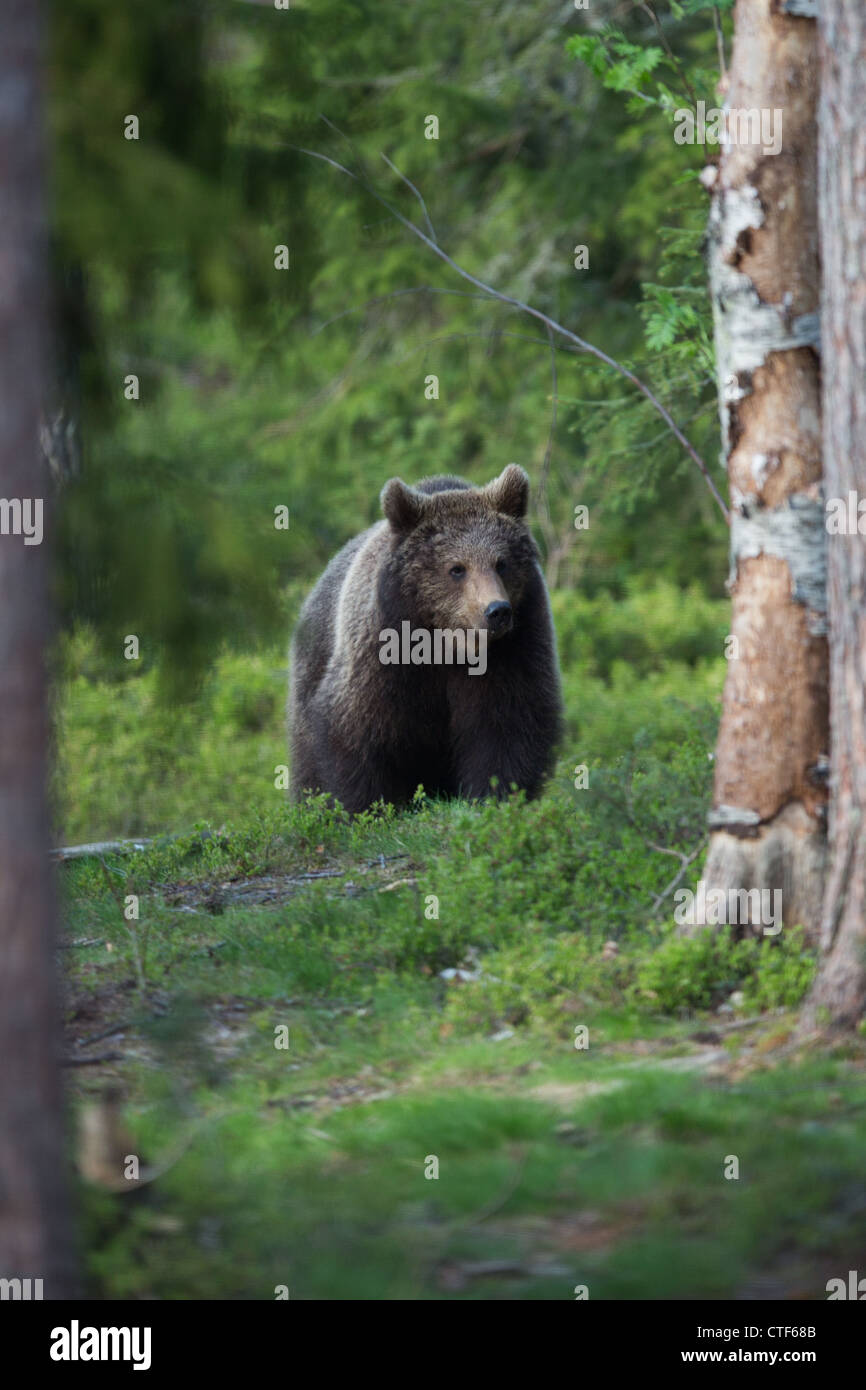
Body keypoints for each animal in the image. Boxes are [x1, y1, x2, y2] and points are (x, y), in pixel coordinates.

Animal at [288, 464, 562, 812]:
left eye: (501, 563)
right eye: (457, 568)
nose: (497, 611)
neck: (446, 645)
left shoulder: (517, 646)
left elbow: (508, 725)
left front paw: (494, 796)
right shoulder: (382, 653)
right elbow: (359, 734)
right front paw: (368, 808)